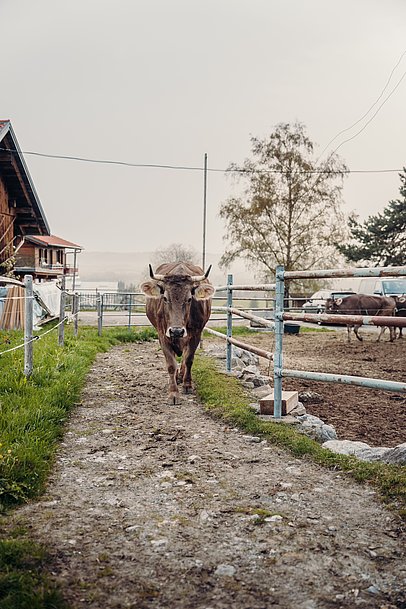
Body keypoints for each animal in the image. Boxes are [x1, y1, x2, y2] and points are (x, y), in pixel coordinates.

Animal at [140, 262, 214, 404]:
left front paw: (187, 385)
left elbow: (189, 359)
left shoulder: (196, 335)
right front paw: (173, 393)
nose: (176, 331)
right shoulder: (163, 335)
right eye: (165, 298)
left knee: (185, 357)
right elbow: (171, 364)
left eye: (190, 299)